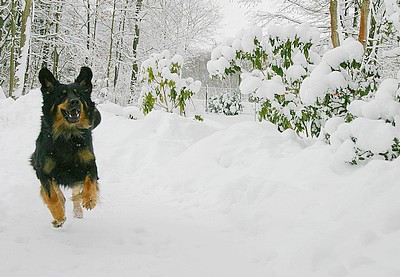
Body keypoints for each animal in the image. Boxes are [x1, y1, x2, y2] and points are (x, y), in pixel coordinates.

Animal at [30, 67, 101, 226]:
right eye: (61, 95)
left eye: (78, 94)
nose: (75, 101)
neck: (67, 135)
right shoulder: (44, 171)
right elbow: (51, 196)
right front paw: (59, 216)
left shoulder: (90, 163)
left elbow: (90, 181)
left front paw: (90, 199)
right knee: (59, 194)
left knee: (75, 192)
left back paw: (78, 211)